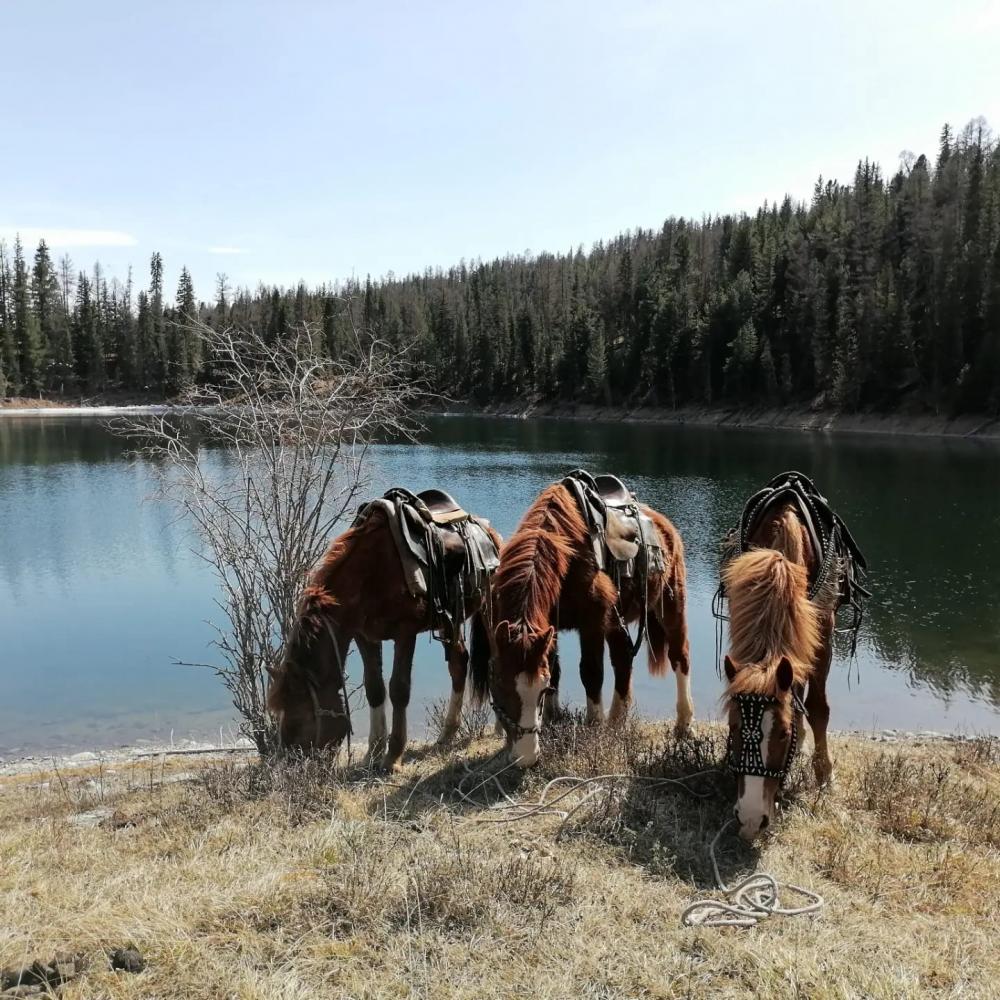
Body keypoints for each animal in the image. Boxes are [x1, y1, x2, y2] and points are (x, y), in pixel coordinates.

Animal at [472, 476, 692, 764]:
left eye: (539, 691)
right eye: (499, 685)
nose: (526, 756)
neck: (563, 556)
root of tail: (664, 523)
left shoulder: (592, 623)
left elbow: (591, 672)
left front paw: (594, 726)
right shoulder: (549, 626)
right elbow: (555, 668)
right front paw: (554, 719)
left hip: (670, 604)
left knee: (679, 656)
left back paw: (683, 724)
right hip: (617, 620)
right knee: (623, 661)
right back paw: (616, 722)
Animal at [720, 472, 868, 840]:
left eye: (782, 734)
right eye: (733, 727)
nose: (750, 819)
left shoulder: (822, 632)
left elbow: (817, 708)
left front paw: (824, 775)